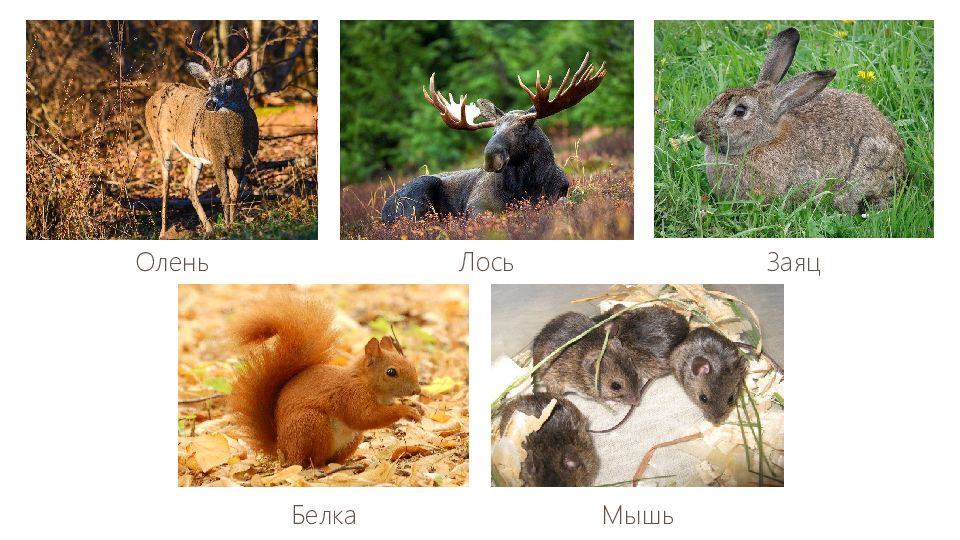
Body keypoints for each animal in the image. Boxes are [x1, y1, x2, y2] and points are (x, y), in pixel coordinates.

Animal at [229, 295, 422, 468]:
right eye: (391, 372)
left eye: (410, 363)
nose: (417, 391)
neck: (365, 381)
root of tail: (282, 450)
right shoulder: (351, 395)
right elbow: (365, 417)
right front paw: (405, 410)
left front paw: (417, 410)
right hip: (312, 425)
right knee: (309, 461)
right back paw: (321, 467)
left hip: (351, 439)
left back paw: (350, 462)